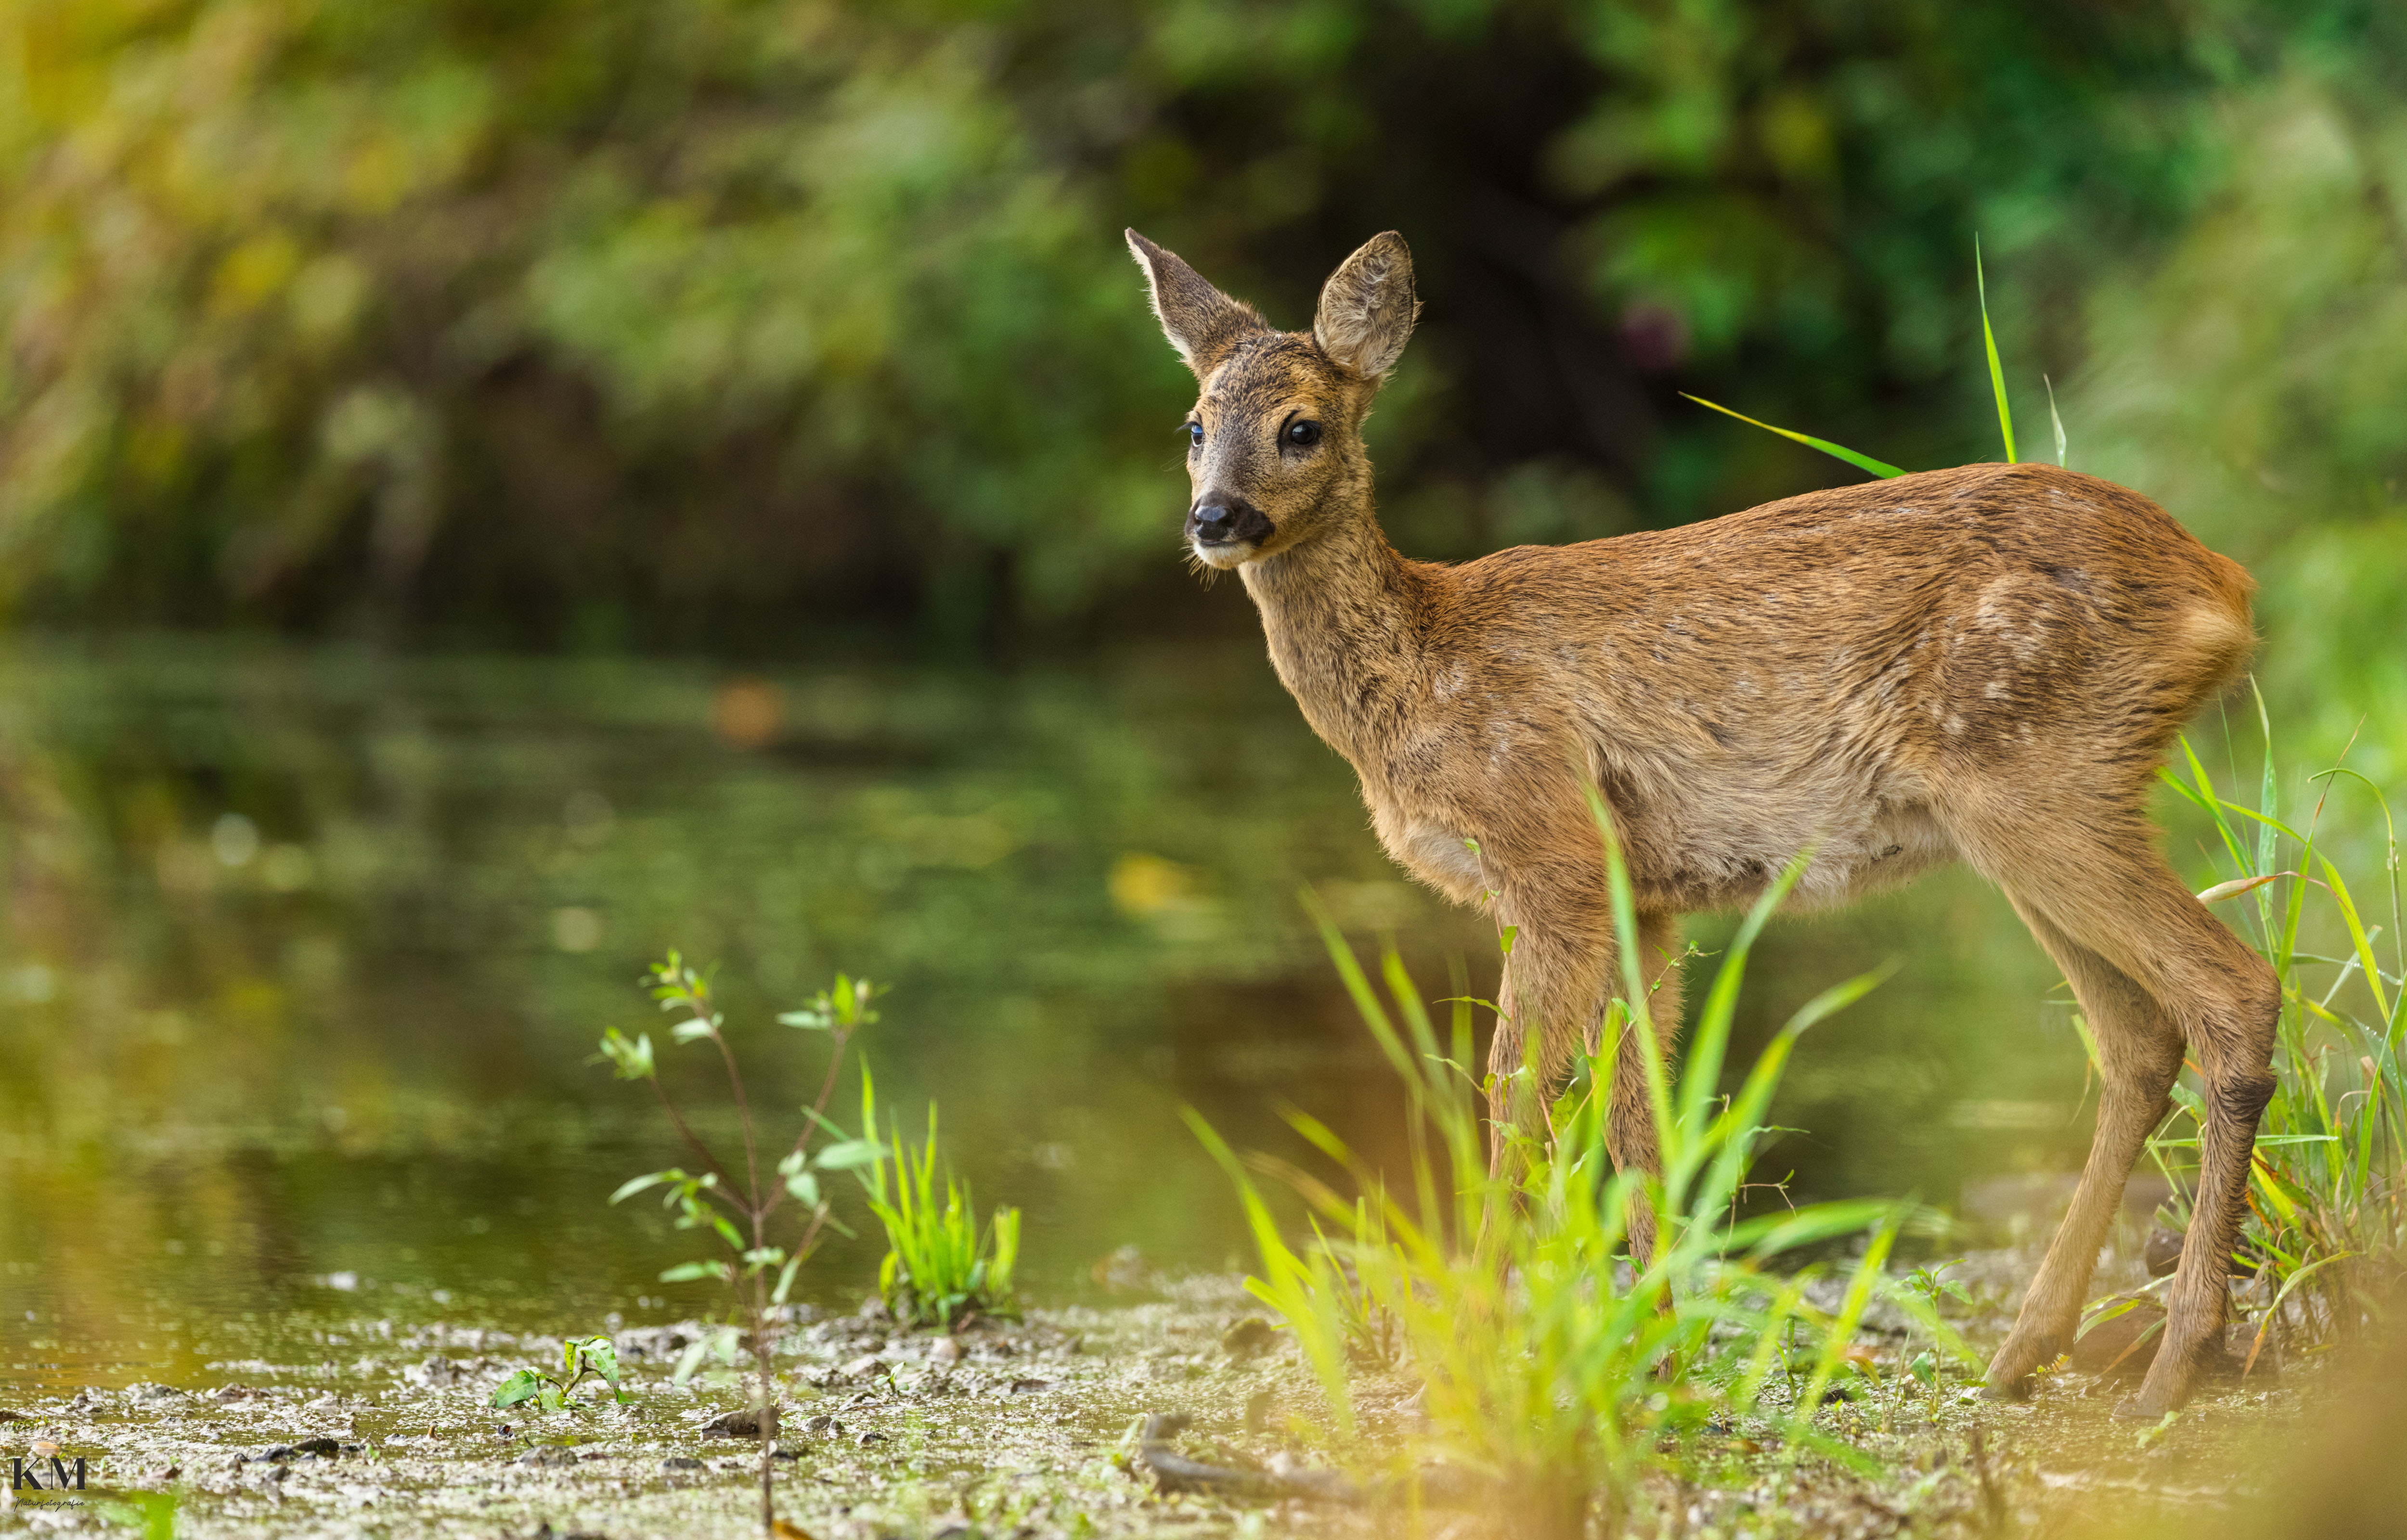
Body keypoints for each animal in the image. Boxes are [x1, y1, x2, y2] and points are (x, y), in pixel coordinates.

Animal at [1136, 222, 2282, 1415]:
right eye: (1193, 425)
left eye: (1300, 427)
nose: (1215, 519)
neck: (1420, 669)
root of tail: (2223, 591)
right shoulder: (1640, 897)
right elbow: (1641, 1114)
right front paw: (1662, 1344)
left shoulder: (1550, 849)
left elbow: (1513, 1100)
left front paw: (1477, 1343)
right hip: (2024, 816)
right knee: (2136, 1036)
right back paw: (2026, 1350)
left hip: (2042, 780)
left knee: (2231, 992)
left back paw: (2176, 1359)